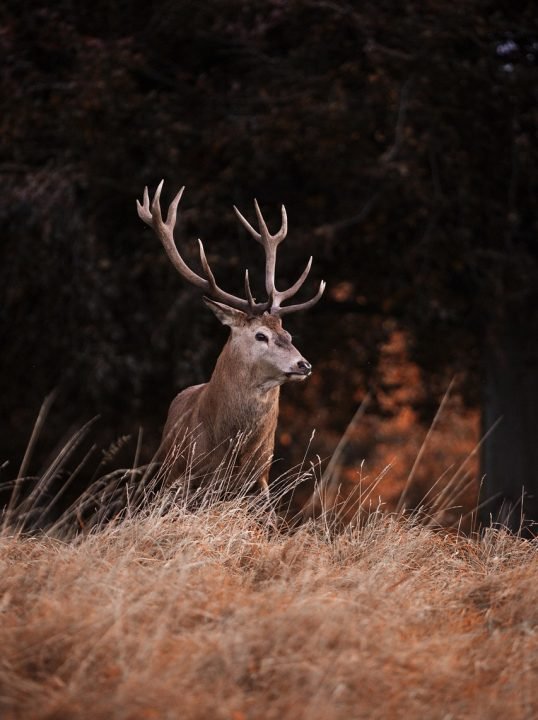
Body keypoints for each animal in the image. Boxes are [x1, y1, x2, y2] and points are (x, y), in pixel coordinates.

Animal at [137, 181, 325, 508]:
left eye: (288, 334)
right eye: (260, 335)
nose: (304, 364)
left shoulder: (260, 480)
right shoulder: (187, 477)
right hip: (162, 469)